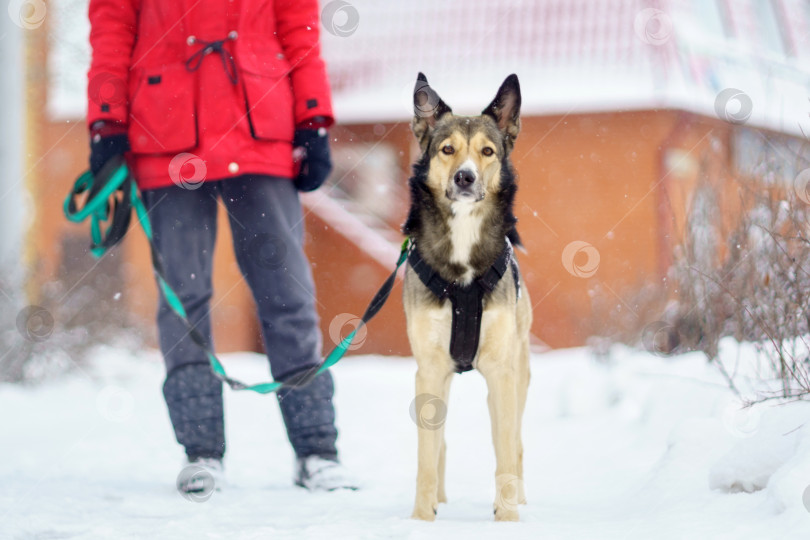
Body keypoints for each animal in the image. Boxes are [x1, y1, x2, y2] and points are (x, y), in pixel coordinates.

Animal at [402, 74, 532, 520]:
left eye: (487, 152)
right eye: (448, 149)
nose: (465, 178)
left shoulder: (501, 371)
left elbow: (506, 452)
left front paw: (508, 520)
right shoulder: (429, 369)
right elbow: (425, 457)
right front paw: (421, 520)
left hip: (519, 371)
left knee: (513, 442)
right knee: (439, 443)